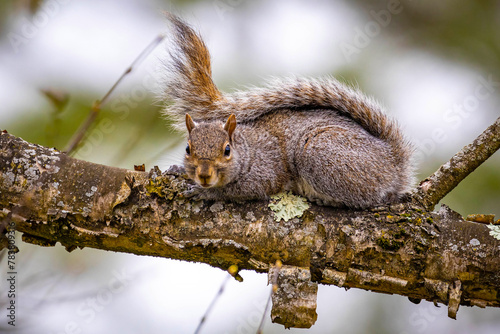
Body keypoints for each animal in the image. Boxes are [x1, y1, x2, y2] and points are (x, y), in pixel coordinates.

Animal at [160, 15, 414, 209]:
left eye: (227, 150)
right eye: (187, 149)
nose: (204, 176)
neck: (248, 150)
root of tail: (393, 162)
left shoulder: (266, 172)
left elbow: (242, 190)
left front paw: (205, 193)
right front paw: (177, 170)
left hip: (321, 154)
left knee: (368, 199)